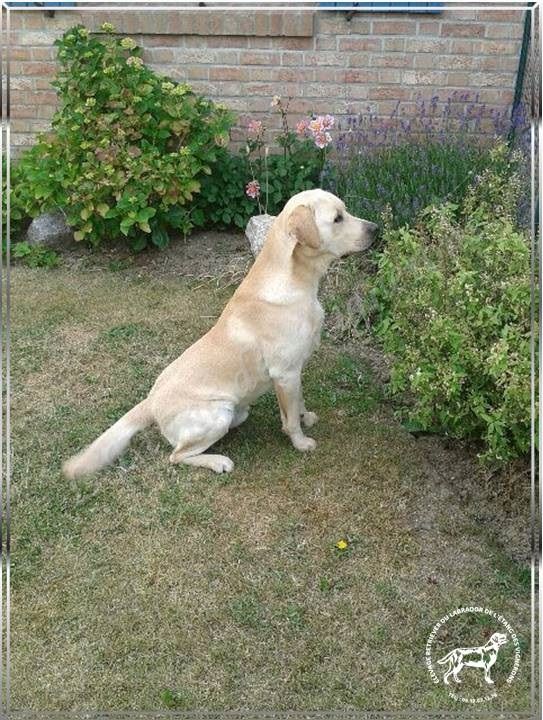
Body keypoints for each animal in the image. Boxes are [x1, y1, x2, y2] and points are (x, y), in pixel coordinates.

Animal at [63, 188, 376, 476]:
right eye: (337, 218)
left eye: (345, 211)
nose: (376, 228)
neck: (297, 280)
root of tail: (150, 403)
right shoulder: (285, 372)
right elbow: (290, 421)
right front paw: (300, 442)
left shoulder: (293, 373)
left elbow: (297, 403)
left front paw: (306, 416)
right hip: (218, 413)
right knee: (176, 456)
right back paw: (218, 461)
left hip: (235, 411)